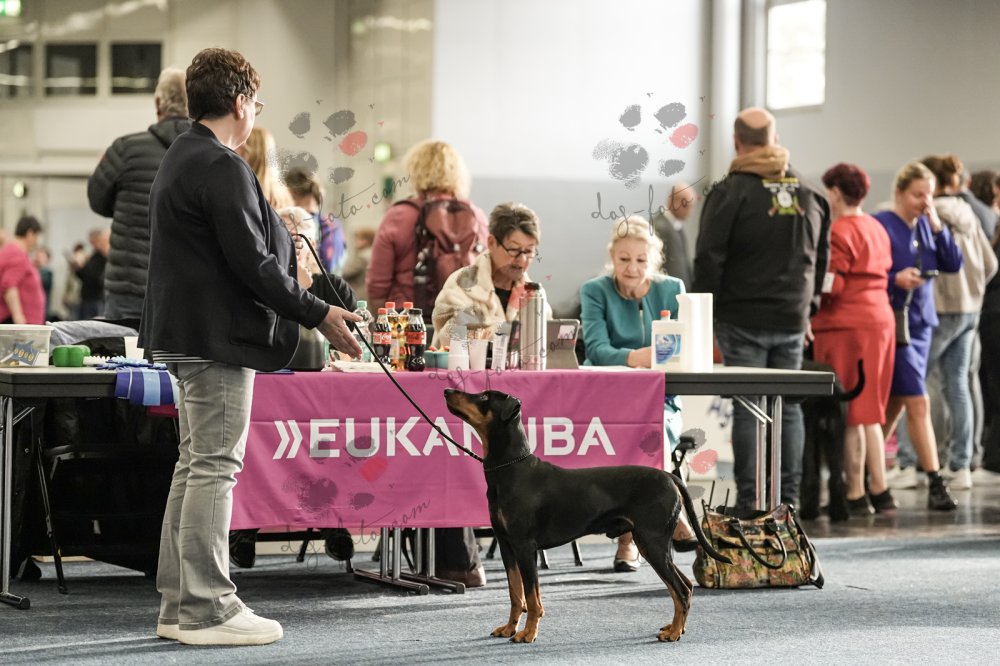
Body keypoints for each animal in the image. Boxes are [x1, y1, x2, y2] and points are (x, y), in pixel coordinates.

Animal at [443, 388, 730, 644]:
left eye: (483, 396)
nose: (446, 391)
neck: (511, 469)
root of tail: (670, 477)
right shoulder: (507, 546)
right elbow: (516, 594)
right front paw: (509, 629)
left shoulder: (525, 547)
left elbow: (532, 598)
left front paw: (528, 634)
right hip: (651, 543)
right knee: (685, 587)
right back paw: (674, 628)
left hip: (652, 542)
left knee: (680, 589)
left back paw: (673, 633)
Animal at [799, 358, 865, 522]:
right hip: (836, 434)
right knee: (836, 478)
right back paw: (840, 513)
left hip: (809, 433)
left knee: (811, 477)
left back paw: (808, 512)